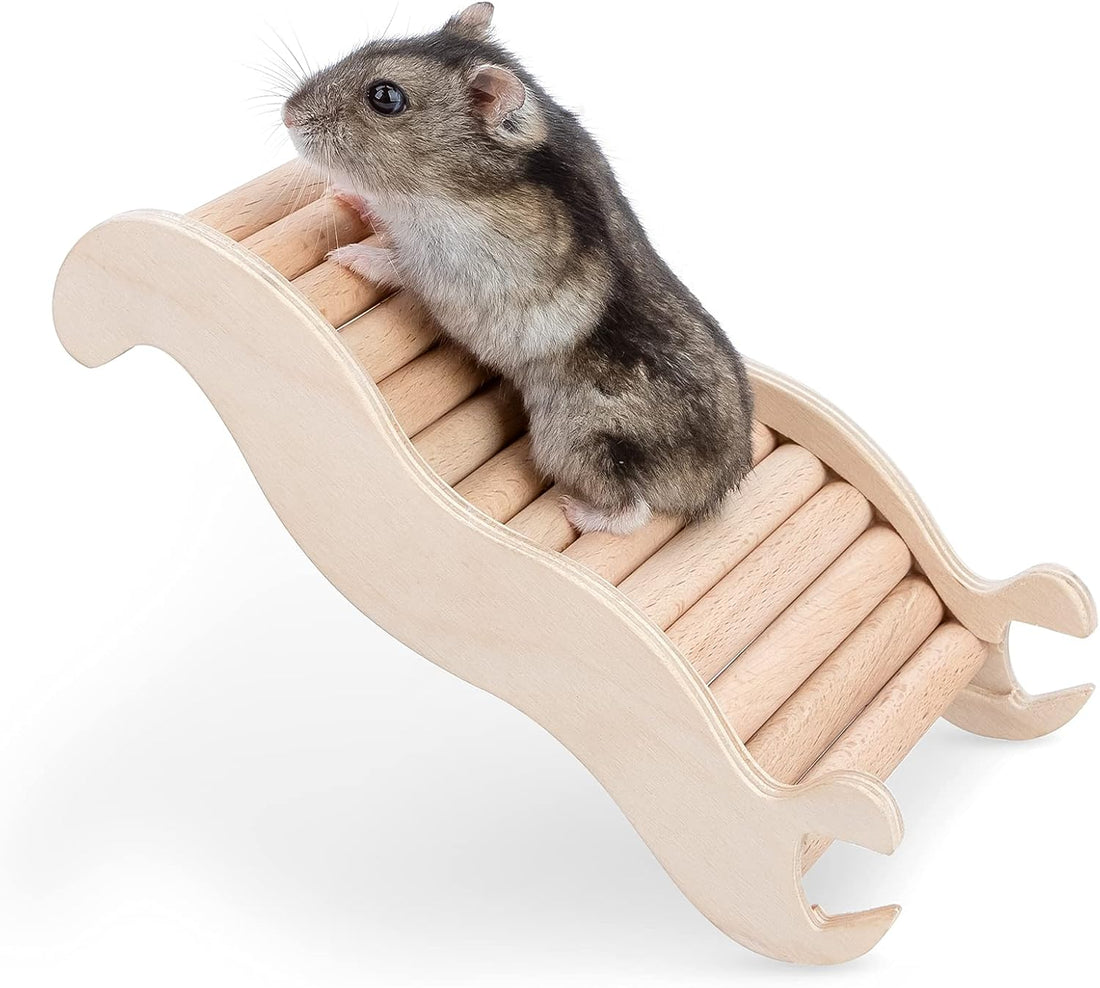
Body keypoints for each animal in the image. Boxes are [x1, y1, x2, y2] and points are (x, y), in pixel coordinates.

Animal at [282, 2, 754, 535]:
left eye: (385, 97)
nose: (286, 112)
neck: (447, 187)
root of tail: (718, 488)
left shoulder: (453, 269)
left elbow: (400, 265)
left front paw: (345, 256)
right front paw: (346, 196)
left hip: (576, 439)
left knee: (633, 510)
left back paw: (576, 510)